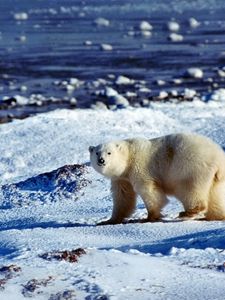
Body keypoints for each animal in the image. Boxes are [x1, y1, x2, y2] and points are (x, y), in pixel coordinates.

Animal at [89, 132, 225, 224]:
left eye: (109, 153)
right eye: (96, 153)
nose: (101, 160)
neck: (129, 157)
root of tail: (218, 157)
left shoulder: (139, 168)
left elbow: (149, 191)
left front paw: (149, 217)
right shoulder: (121, 178)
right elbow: (123, 196)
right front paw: (109, 220)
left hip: (190, 168)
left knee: (189, 189)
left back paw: (187, 213)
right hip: (216, 178)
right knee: (215, 195)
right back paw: (215, 216)